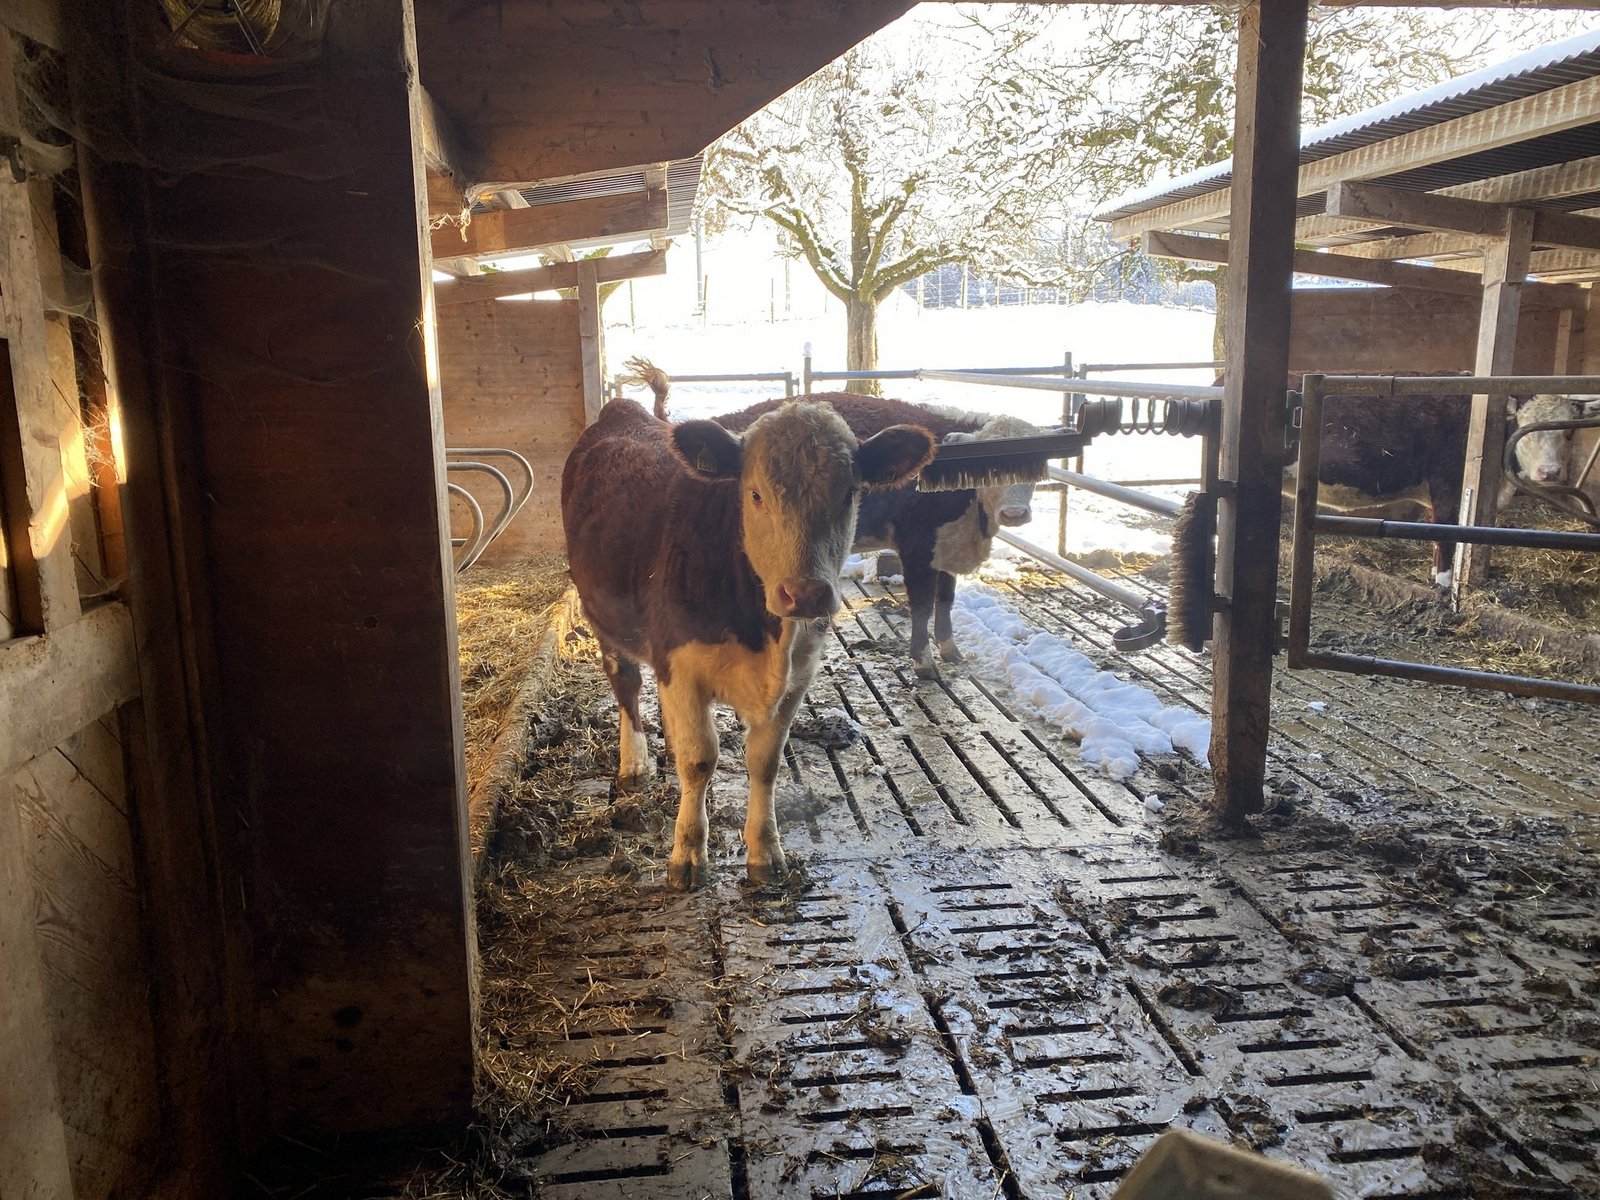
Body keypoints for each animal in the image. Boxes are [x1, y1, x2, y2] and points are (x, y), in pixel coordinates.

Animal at [561, 397, 935, 889]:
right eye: (755, 495)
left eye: (849, 493)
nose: (805, 593)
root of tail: (623, 410)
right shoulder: (681, 668)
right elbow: (699, 761)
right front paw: (687, 854)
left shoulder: (799, 677)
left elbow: (765, 761)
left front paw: (765, 852)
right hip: (603, 617)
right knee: (626, 684)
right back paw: (635, 762)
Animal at [715, 394, 1042, 679]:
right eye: (993, 468)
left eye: (1036, 467)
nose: (1014, 513)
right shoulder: (916, 545)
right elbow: (922, 604)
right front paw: (924, 663)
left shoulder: (947, 544)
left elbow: (946, 598)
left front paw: (950, 650)